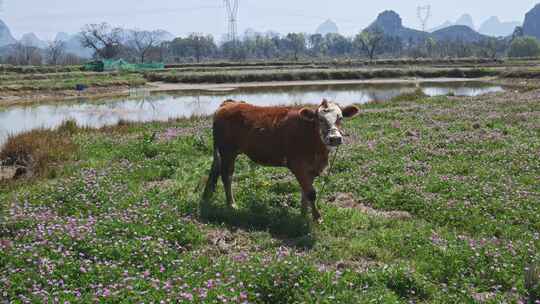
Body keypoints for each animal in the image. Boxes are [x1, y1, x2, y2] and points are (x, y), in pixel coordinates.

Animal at [200, 99, 360, 221]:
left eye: (340, 118)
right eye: (320, 119)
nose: (334, 138)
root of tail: (229, 103)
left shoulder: (312, 168)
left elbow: (305, 191)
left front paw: (303, 214)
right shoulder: (297, 165)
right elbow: (311, 193)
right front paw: (317, 217)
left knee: (216, 170)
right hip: (228, 151)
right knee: (227, 176)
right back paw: (231, 204)